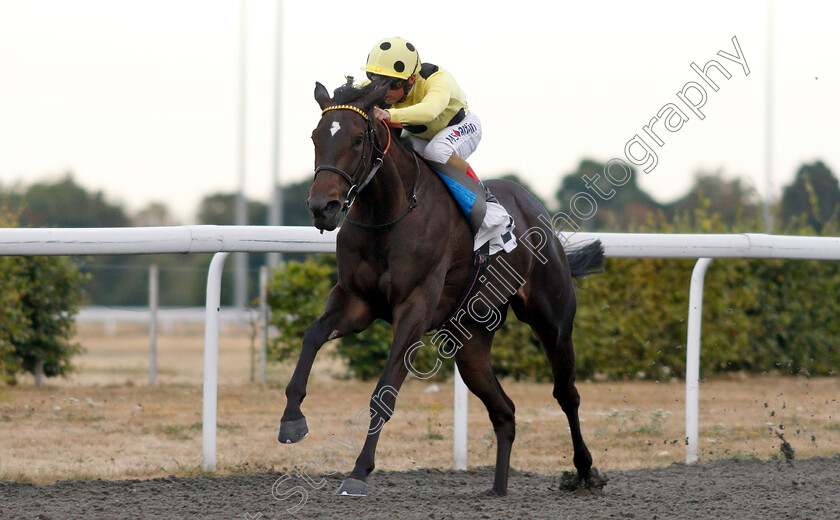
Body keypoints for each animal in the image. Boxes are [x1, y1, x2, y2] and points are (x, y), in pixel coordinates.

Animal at [280, 79, 604, 498]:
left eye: (357, 139)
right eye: (316, 136)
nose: (323, 207)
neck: (389, 213)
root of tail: (535, 208)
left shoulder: (415, 309)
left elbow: (384, 391)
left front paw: (358, 472)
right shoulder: (356, 302)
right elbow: (312, 335)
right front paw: (292, 420)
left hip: (553, 320)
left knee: (566, 394)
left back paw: (585, 472)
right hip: (471, 341)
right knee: (505, 411)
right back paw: (498, 488)